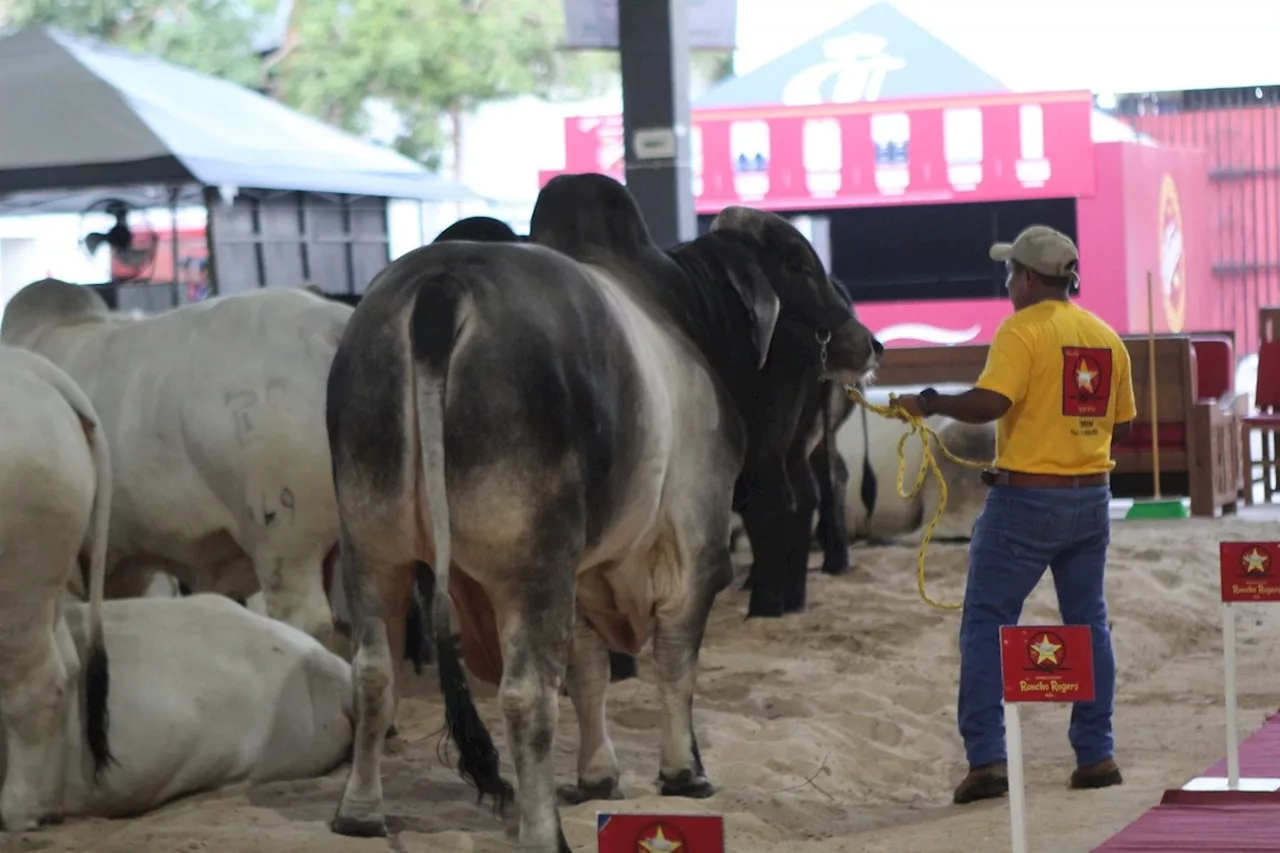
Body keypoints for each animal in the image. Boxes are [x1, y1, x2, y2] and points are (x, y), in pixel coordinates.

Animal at [320, 171, 880, 845]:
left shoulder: (588, 569)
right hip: (531, 563)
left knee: (374, 673)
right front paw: (682, 773)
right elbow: (675, 663)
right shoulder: (695, 544)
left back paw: (359, 813)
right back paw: (543, 832)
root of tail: (441, 287)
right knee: (526, 695)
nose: (868, 342)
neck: (684, 311)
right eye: (798, 262)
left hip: (373, 548)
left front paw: (597, 776)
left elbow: (589, 672)